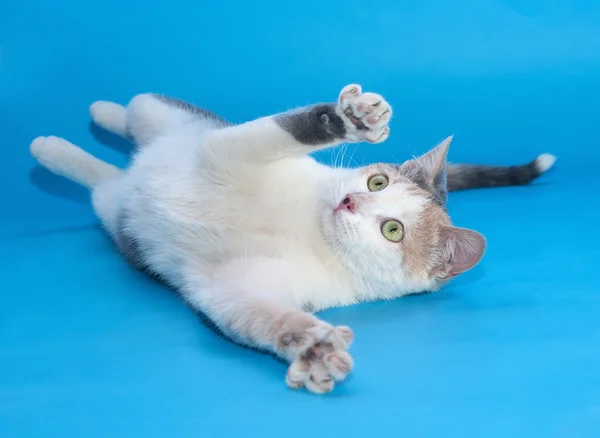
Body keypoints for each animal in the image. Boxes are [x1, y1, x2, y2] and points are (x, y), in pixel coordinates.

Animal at [30, 83, 556, 394]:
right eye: (377, 182)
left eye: (392, 230)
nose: (351, 202)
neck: (306, 225)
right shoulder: (228, 151)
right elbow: (283, 129)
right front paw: (351, 120)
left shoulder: (238, 285)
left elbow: (257, 313)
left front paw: (313, 348)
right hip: (173, 122)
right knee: (138, 108)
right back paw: (98, 114)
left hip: (113, 209)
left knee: (103, 182)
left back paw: (59, 151)